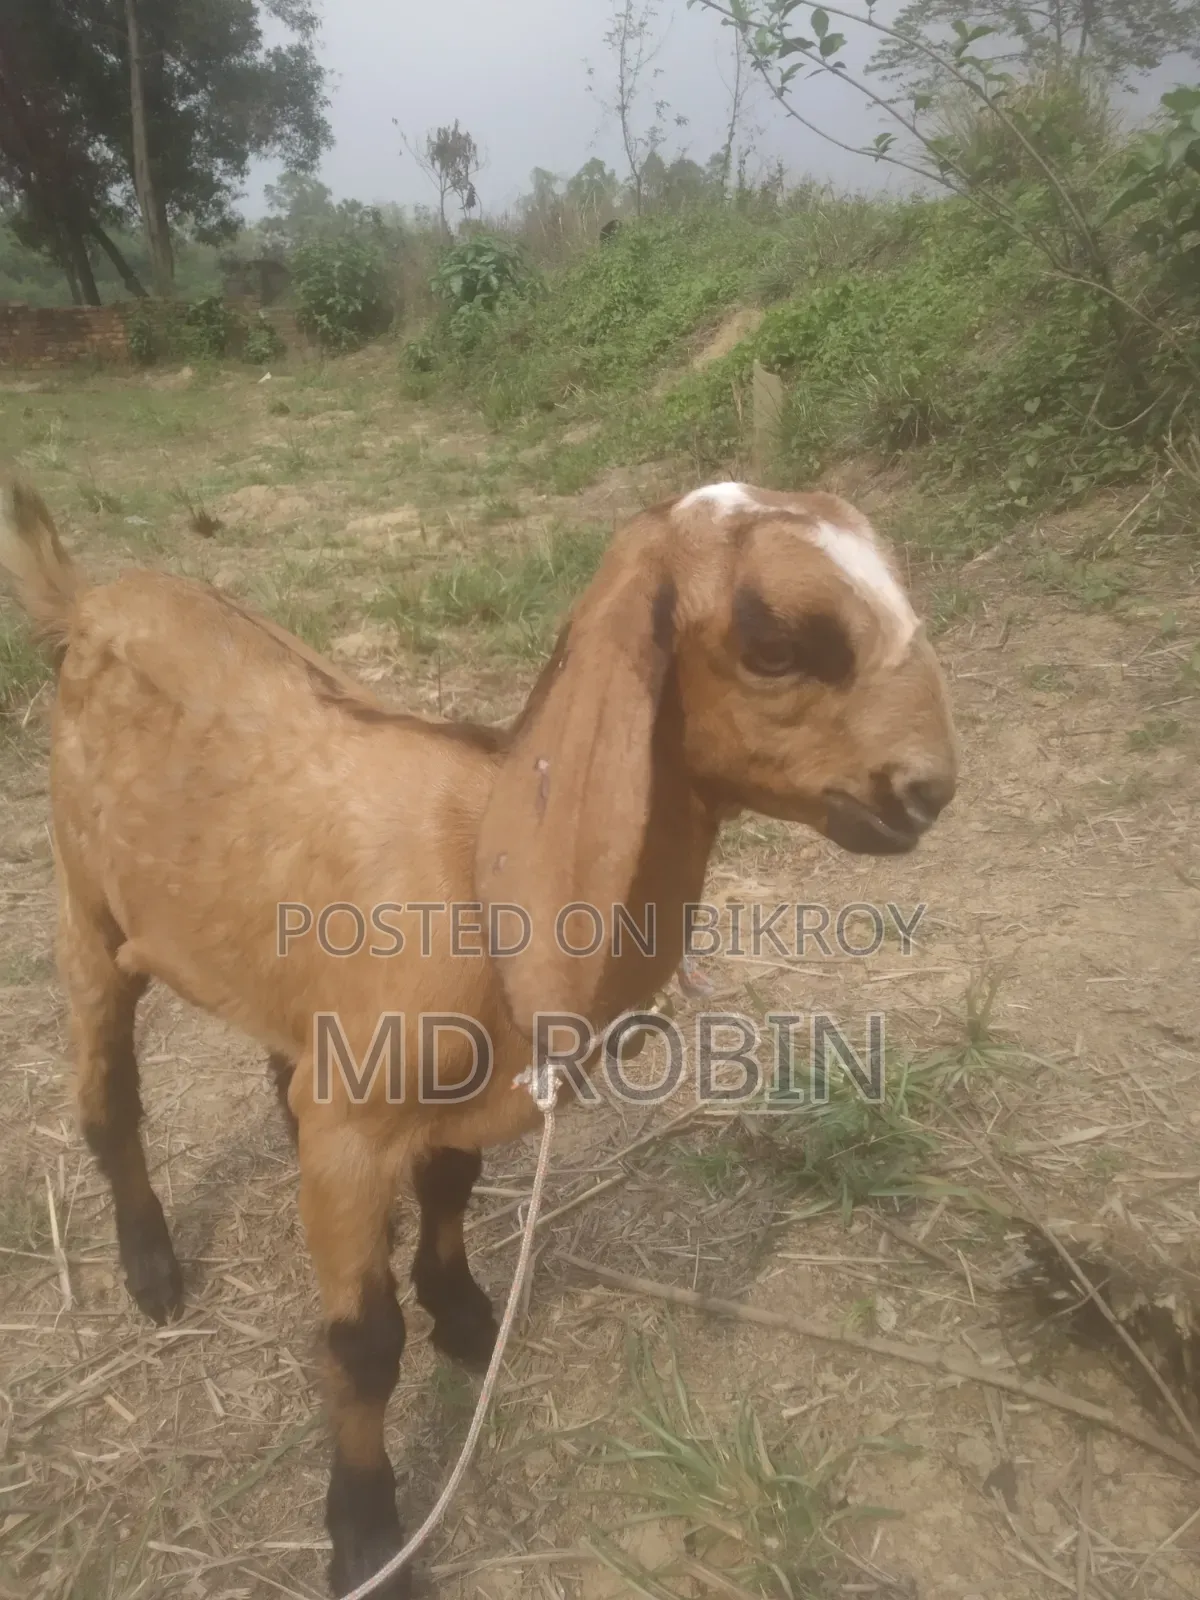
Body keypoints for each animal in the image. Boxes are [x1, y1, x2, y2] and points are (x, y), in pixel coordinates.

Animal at [0, 475, 958, 1598]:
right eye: (775, 642)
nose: (926, 790)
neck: (482, 865)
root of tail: (88, 603)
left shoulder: (447, 1087)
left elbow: (453, 1187)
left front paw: (461, 1312)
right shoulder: (357, 1128)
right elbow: (363, 1343)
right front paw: (367, 1535)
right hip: (85, 906)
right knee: (108, 1093)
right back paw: (150, 1268)